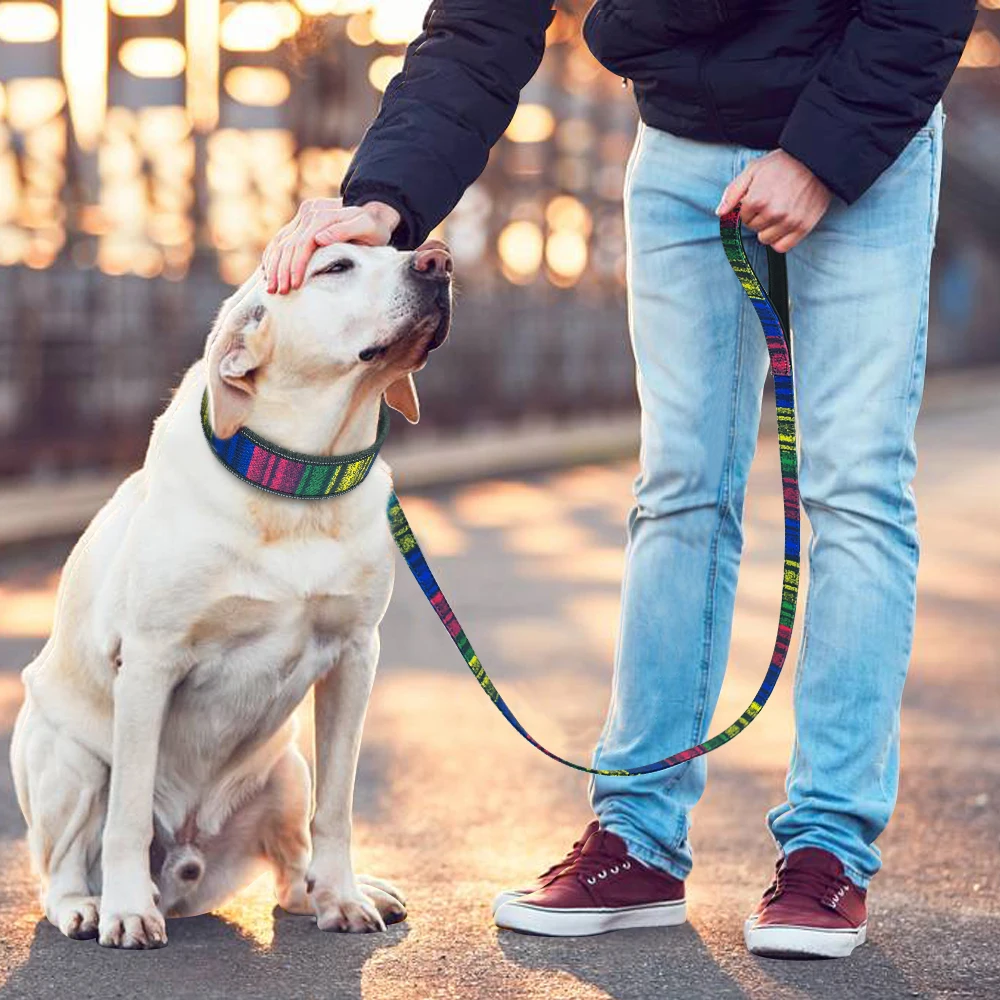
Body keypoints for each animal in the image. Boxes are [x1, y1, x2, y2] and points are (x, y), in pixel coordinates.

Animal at [7, 238, 452, 948]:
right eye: (335, 267)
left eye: (397, 247)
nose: (438, 260)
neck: (297, 483)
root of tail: (187, 874)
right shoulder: (149, 662)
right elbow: (128, 813)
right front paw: (127, 910)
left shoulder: (356, 657)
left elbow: (336, 809)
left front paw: (343, 896)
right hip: (67, 759)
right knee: (61, 865)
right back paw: (88, 905)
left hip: (288, 769)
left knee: (290, 868)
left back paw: (327, 892)